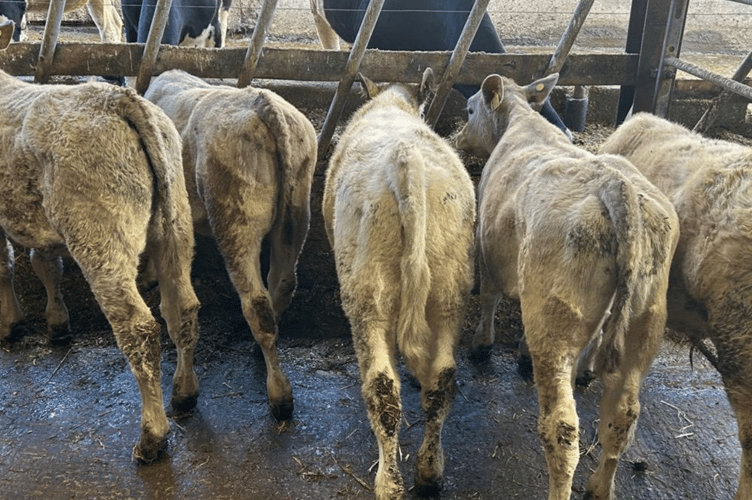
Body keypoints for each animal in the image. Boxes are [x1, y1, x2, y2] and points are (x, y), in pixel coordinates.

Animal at [0, 69, 200, 463]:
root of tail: (119, 99)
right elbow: (45, 264)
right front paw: (57, 324)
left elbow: (5, 264)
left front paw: (10, 325)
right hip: (175, 223)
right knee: (182, 309)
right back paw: (184, 393)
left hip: (100, 237)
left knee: (138, 328)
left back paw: (152, 436)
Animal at [144, 69, 317, 421]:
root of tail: (262, 102)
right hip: (296, 214)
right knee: (282, 285)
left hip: (236, 219)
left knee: (256, 303)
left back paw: (279, 395)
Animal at [322, 68, 476, 499]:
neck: (390, 107)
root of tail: (405, 158)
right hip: (449, 289)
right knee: (442, 378)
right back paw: (430, 471)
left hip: (367, 296)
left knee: (382, 387)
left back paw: (389, 483)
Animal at [454, 74, 679, 500]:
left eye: (470, 110)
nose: (458, 137)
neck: (522, 124)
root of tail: (616, 186)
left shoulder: (487, 247)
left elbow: (490, 297)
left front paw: (482, 346)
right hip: (646, 323)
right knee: (622, 417)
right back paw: (600, 486)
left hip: (555, 319)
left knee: (562, 427)